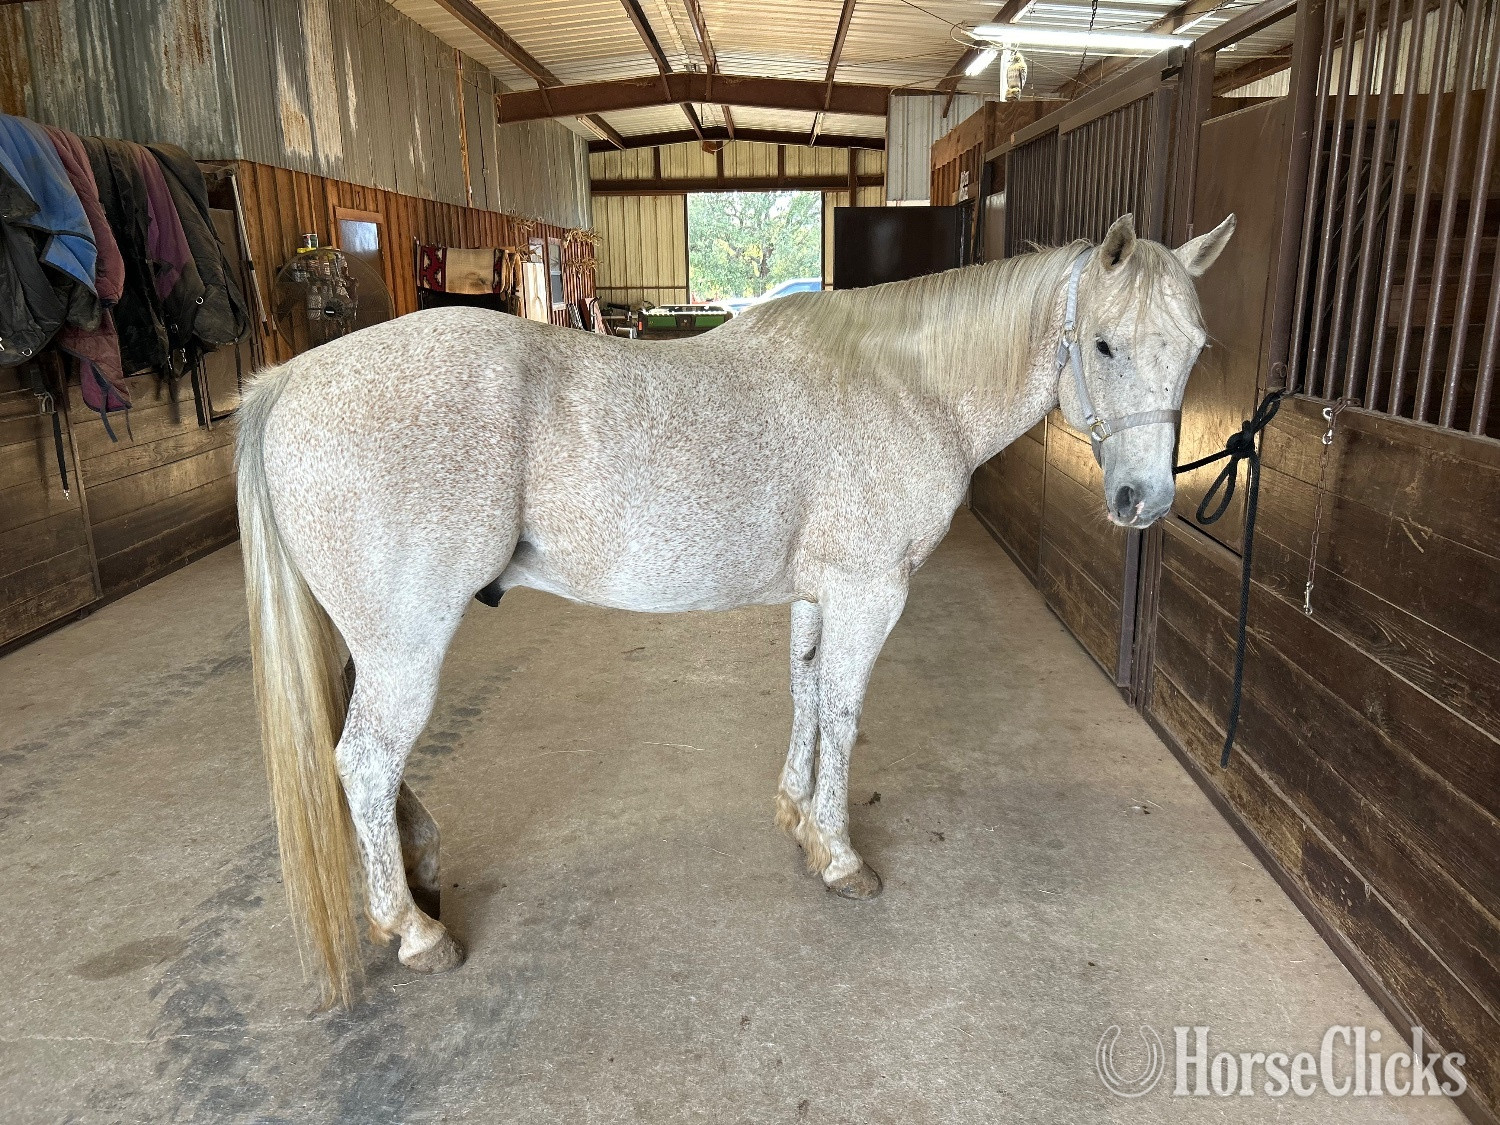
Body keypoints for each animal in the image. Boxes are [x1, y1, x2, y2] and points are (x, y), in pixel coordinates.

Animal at [235, 213, 1236, 1006]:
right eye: (1104, 344)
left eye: (1195, 347)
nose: (1144, 500)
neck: (905, 386)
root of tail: (288, 382)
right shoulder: (870, 591)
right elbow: (843, 710)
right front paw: (840, 855)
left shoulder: (818, 593)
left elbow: (805, 694)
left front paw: (796, 814)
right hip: (407, 644)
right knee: (365, 762)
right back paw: (414, 930)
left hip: (369, 644)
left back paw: (422, 874)